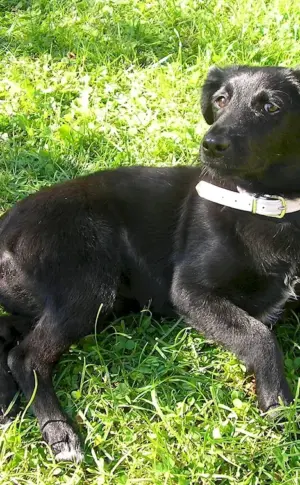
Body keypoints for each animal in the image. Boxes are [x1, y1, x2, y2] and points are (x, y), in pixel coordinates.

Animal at [0, 65, 300, 462]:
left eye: (271, 107)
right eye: (221, 99)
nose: (211, 145)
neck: (267, 207)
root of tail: (6, 225)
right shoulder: (190, 291)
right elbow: (259, 336)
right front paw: (278, 404)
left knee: (7, 336)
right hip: (88, 287)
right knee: (26, 356)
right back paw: (60, 433)